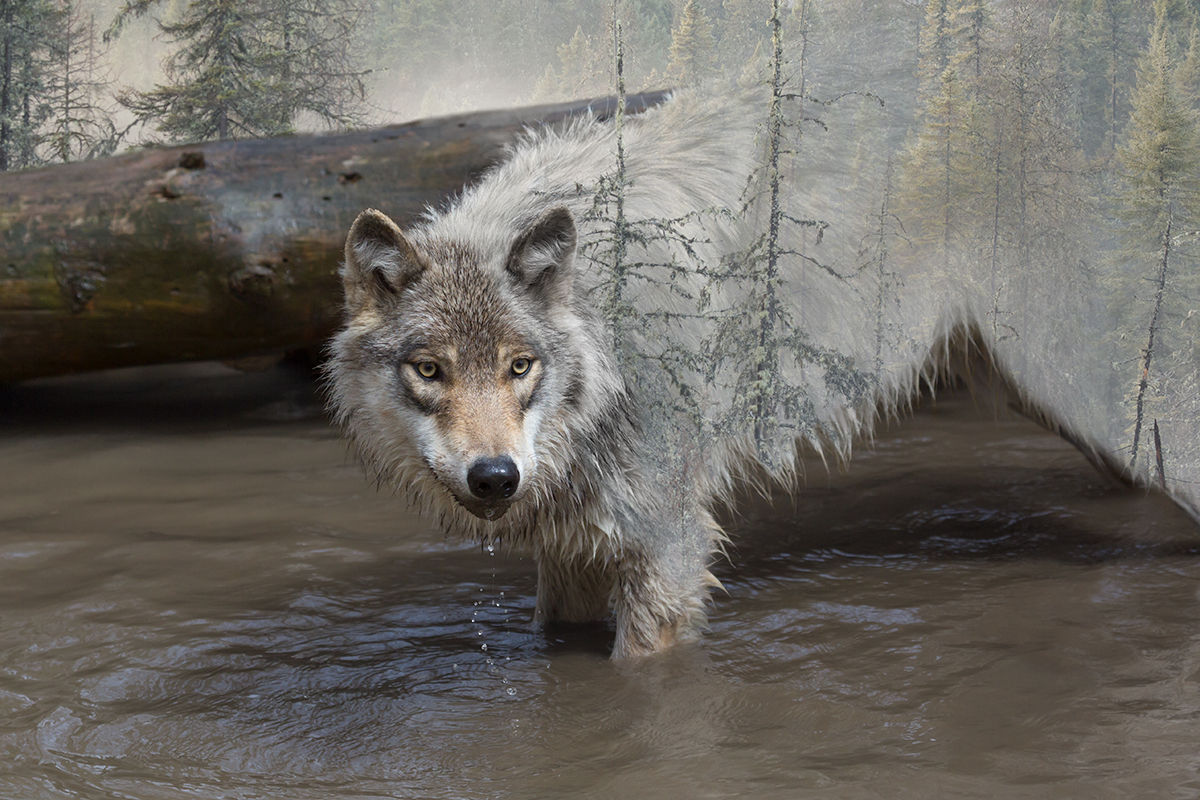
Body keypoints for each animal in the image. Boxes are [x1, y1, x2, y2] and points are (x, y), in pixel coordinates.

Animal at [326, 90, 1200, 658]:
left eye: (519, 366)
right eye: (431, 370)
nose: (496, 477)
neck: (607, 336)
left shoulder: (667, 548)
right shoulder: (574, 550)